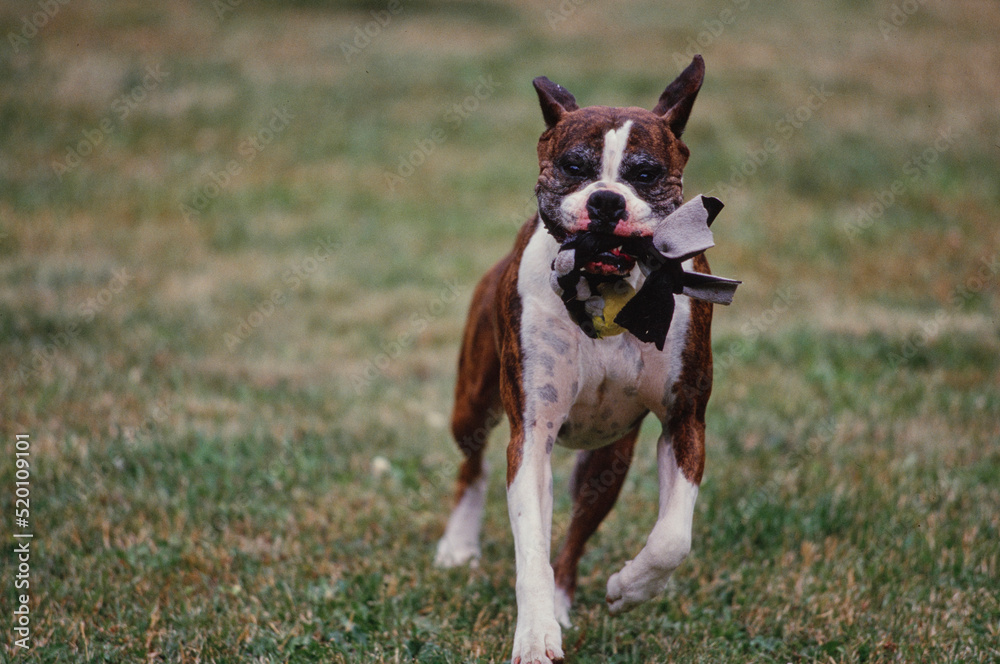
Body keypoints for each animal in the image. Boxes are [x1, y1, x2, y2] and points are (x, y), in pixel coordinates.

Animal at [436, 57, 712, 664]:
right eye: (573, 167)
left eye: (645, 173)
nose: (606, 200)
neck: (605, 289)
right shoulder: (532, 433)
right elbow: (530, 546)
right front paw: (536, 633)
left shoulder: (684, 421)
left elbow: (673, 538)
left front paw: (629, 587)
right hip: (472, 403)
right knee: (474, 465)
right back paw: (459, 543)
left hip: (607, 461)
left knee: (576, 536)